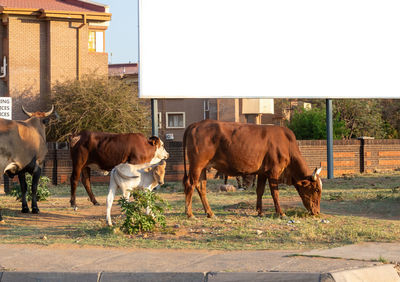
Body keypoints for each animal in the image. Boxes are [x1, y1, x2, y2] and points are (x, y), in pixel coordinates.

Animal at [183, 119, 324, 218]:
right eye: (316, 189)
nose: (317, 212)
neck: (287, 145)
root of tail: (196, 124)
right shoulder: (274, 172)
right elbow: (275, 193)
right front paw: (280, 213)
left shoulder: (263, 172)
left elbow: (260, 191)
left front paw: (260, 212)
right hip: (197, 165)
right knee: (190, 184)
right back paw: (190, 214)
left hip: (203, 167)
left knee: (201, 187)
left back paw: (210, 213)